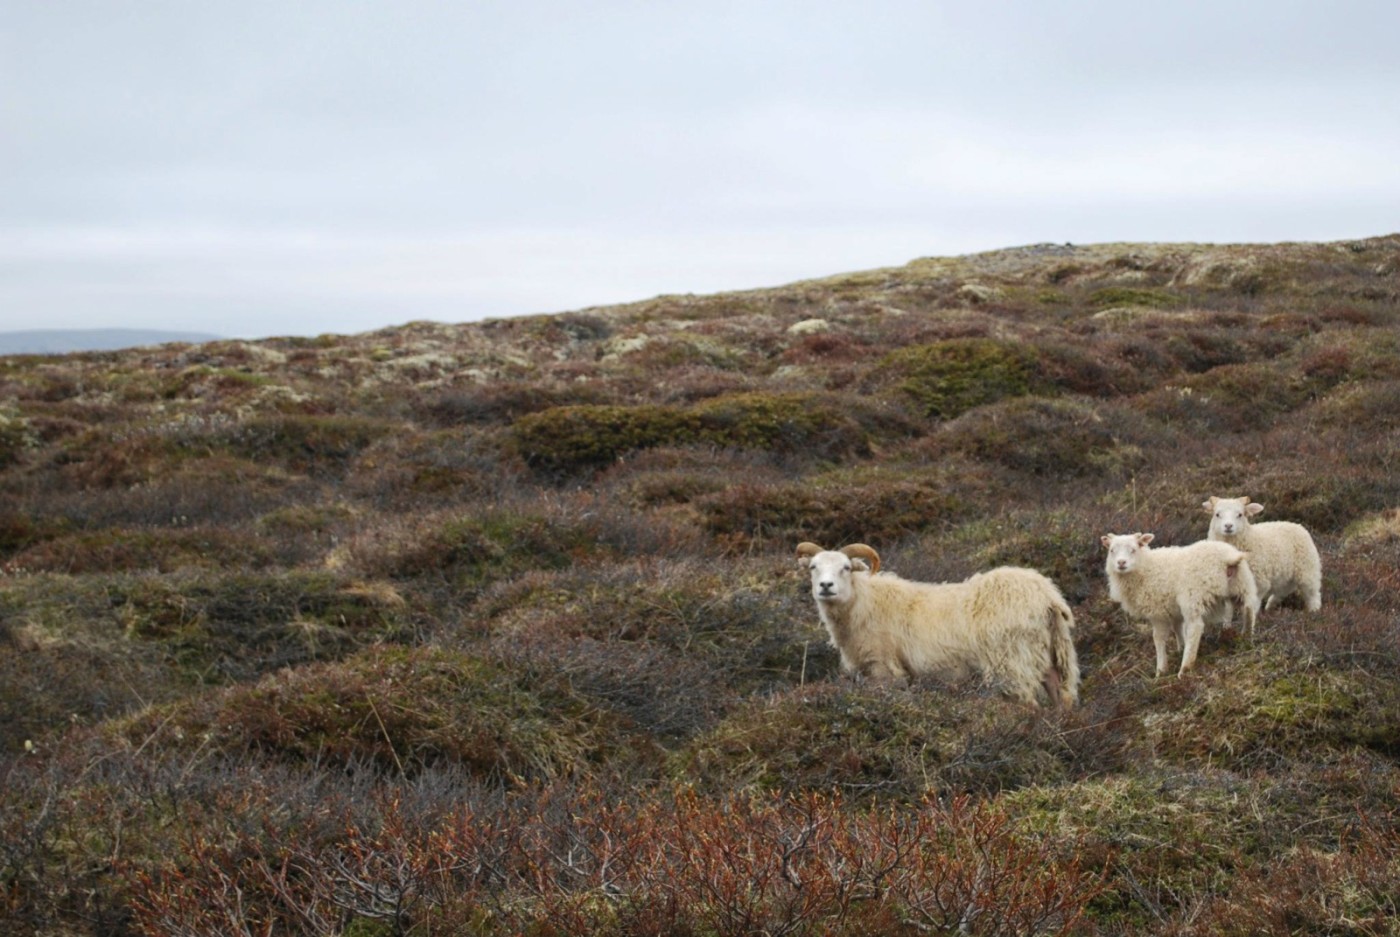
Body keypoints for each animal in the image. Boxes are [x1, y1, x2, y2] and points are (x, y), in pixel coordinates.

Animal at [795, 543, 1075, 705]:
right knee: (1061, 697)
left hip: (1011, 662)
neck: (863, 603)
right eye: (813, 567)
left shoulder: (883, 670)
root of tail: (1048, 597)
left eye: (845, 567)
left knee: (1029, 705)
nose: (826, 586)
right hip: (1052, 655)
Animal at [1097, 529, 1265, 675]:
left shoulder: (1157, 613)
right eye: (1111, 551)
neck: (1146, 567)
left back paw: (1185, 668)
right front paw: (1179, 648)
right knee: (1249, 611)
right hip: (1242, 585)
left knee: (1195, 628)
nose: (1121, 563)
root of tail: (1227, 558)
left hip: (1192, 597)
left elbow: (1158, 638)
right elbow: (1178, 629)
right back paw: (1247, 639)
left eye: (1133, 549)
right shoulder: (1173, 611)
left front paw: (1161, 670)